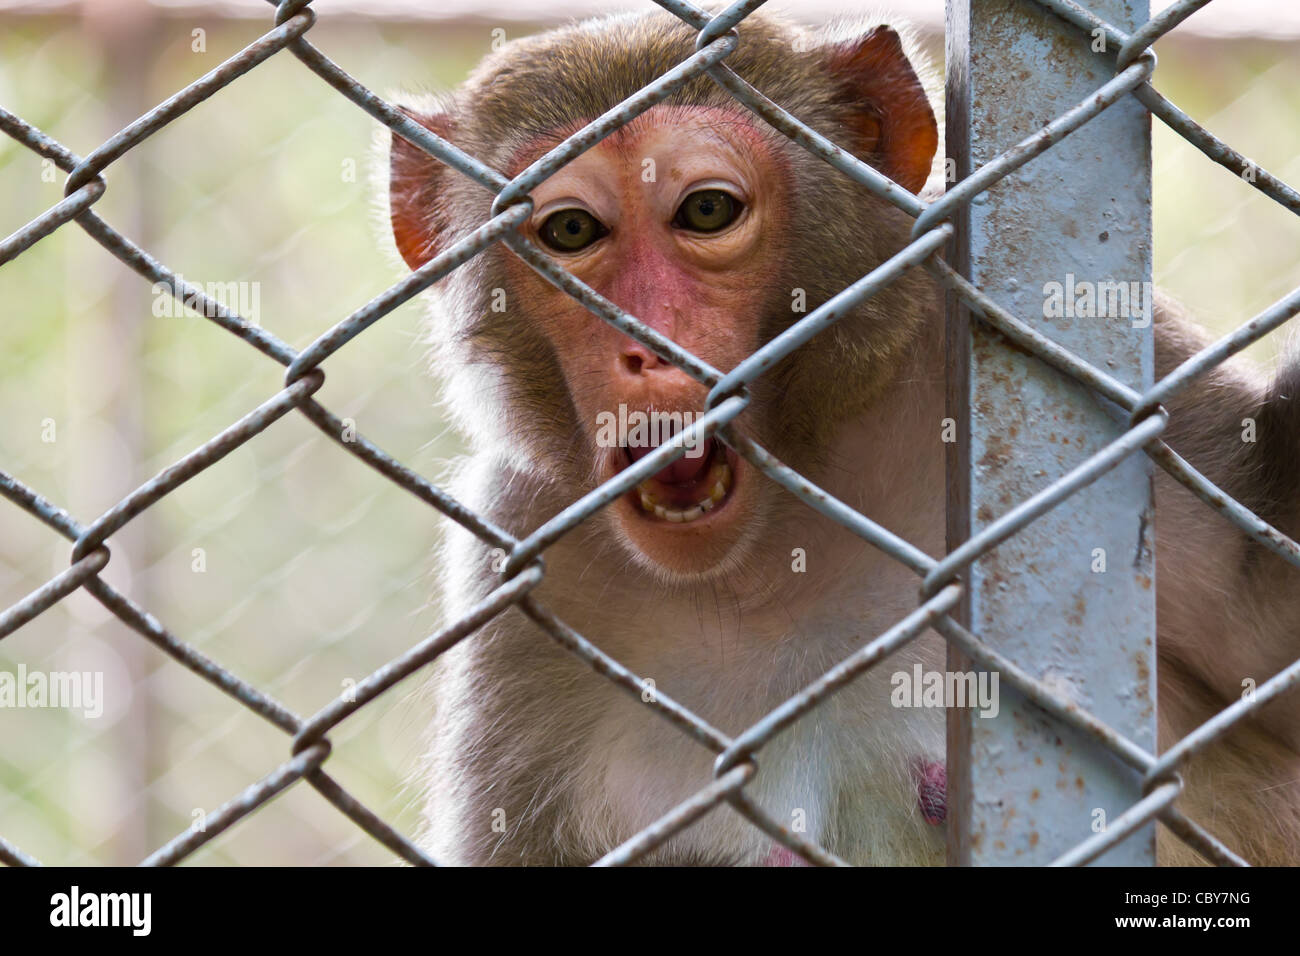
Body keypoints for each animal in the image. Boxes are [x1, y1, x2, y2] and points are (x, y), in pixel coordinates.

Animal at [385, 9, 1300, 865]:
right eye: (571, 233)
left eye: (706, 210)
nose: (646, 347)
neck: (763, 558)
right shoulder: (520, 560)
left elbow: (1265, 625)